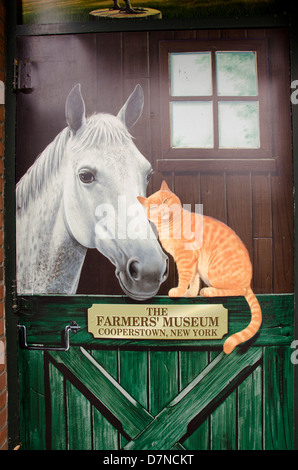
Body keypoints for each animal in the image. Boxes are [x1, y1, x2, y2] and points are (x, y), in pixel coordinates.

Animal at [137, 180, 260, 352]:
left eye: (165, 200)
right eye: (154, 207)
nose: (162, 209)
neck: (170, 227)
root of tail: (249, 282)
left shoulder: (185, 258)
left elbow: (184, 278)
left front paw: (179, 291)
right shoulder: (192, 261)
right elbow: (194, 280)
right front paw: (190, 293)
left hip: (214, 272)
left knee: (238, 290)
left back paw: (209, 291)